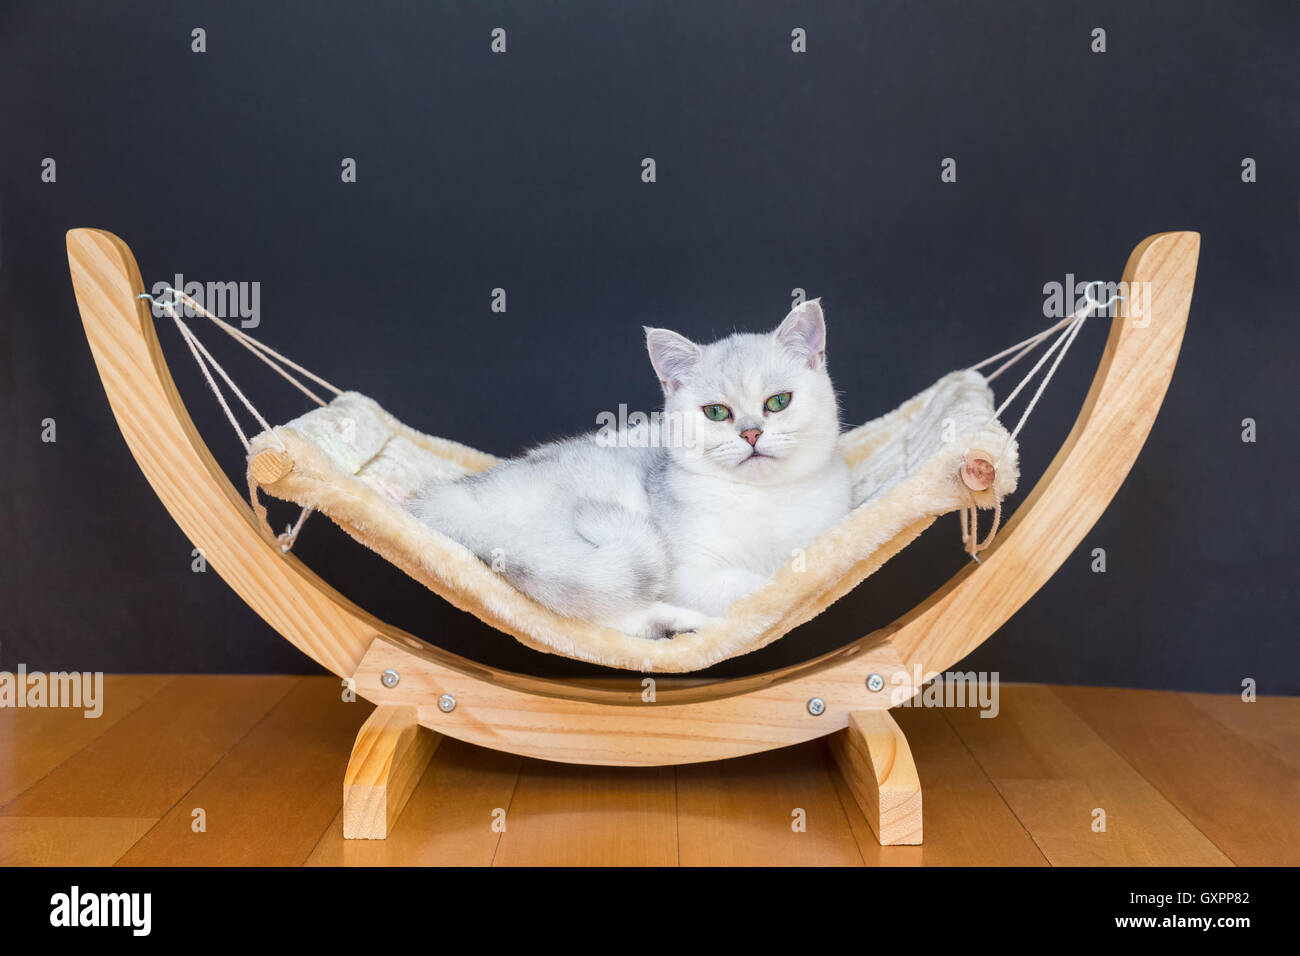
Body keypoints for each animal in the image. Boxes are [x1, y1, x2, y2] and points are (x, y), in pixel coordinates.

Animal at [408, 303, 852, 639]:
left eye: (778, 402)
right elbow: (750, 586)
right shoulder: (689, 573)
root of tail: (453, 494)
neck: (764, 501)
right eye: (715, 412)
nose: (751, 433)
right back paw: (680, 624)